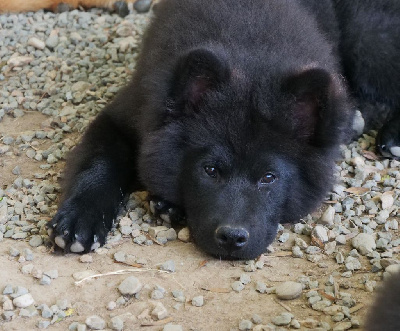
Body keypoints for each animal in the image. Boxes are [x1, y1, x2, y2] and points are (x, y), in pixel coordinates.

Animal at [47, 0, 400, 260]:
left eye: (268, 178)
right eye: (211, 170)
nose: (232, 238)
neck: (248, 51)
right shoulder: (123, 116)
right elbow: (99, 163)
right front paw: (80, 219)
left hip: (367, 38)